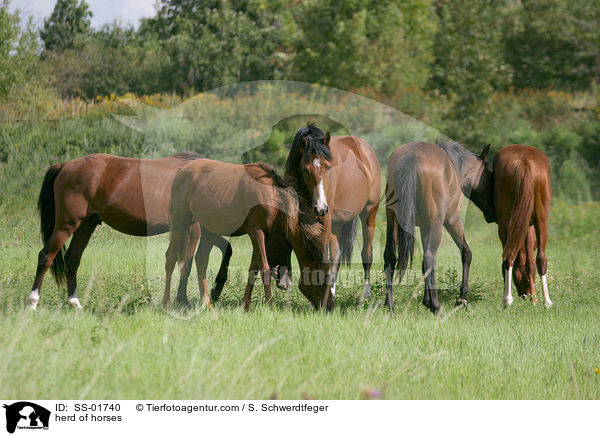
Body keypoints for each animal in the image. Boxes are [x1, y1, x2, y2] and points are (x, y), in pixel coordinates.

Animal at [27, 153, 232, 310]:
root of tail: (64, 166)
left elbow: (224, 250)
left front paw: (213, 290)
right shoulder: (193, 229)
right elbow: (186, 264)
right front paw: (185, 300)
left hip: (86, 225)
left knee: (72, 259)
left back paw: (75, 303)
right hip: (67, 224)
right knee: (46, 256)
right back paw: (32, 303)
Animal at [163, 159, 332, 310]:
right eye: (320, 275)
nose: (328, 306)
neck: (272, 195)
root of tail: (181, 172)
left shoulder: (265, 236)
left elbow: (253, 269)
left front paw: (245, 305)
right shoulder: (256, 232)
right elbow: (264, 268)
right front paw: (270, 305)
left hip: (207, 228)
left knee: (201, 261)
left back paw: (207, 304)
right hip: (180, 221)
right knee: (171, 257)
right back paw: (166, 303)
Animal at [272, 125, 380, 304]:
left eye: (328, 167)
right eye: (305, 169)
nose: (321, 207)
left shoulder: (325, 219)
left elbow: (322, 255)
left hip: (369, 212)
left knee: (367, 254)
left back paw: (366, 295)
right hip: (335, 223)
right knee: (336, 256)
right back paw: (334, 292)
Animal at [382, 142, 494, 314]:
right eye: (488, 175)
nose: (492, 212)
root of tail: (411, 155)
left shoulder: (424, 226)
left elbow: (423, 266)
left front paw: (426, 299)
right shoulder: (452, 221)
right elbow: (466, 253)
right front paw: (462, 299)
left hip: (392, 220)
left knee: (390, 256)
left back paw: (390, 304)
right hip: (438, 225)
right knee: (430, 257)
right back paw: (435, 306)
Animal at [492, 145, 552, 308]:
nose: (526, 295)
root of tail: (524, 161)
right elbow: (531, 263)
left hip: (508, 222)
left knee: (510, 257)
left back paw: (508, 300)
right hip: (540, 220)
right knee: (540, 258)